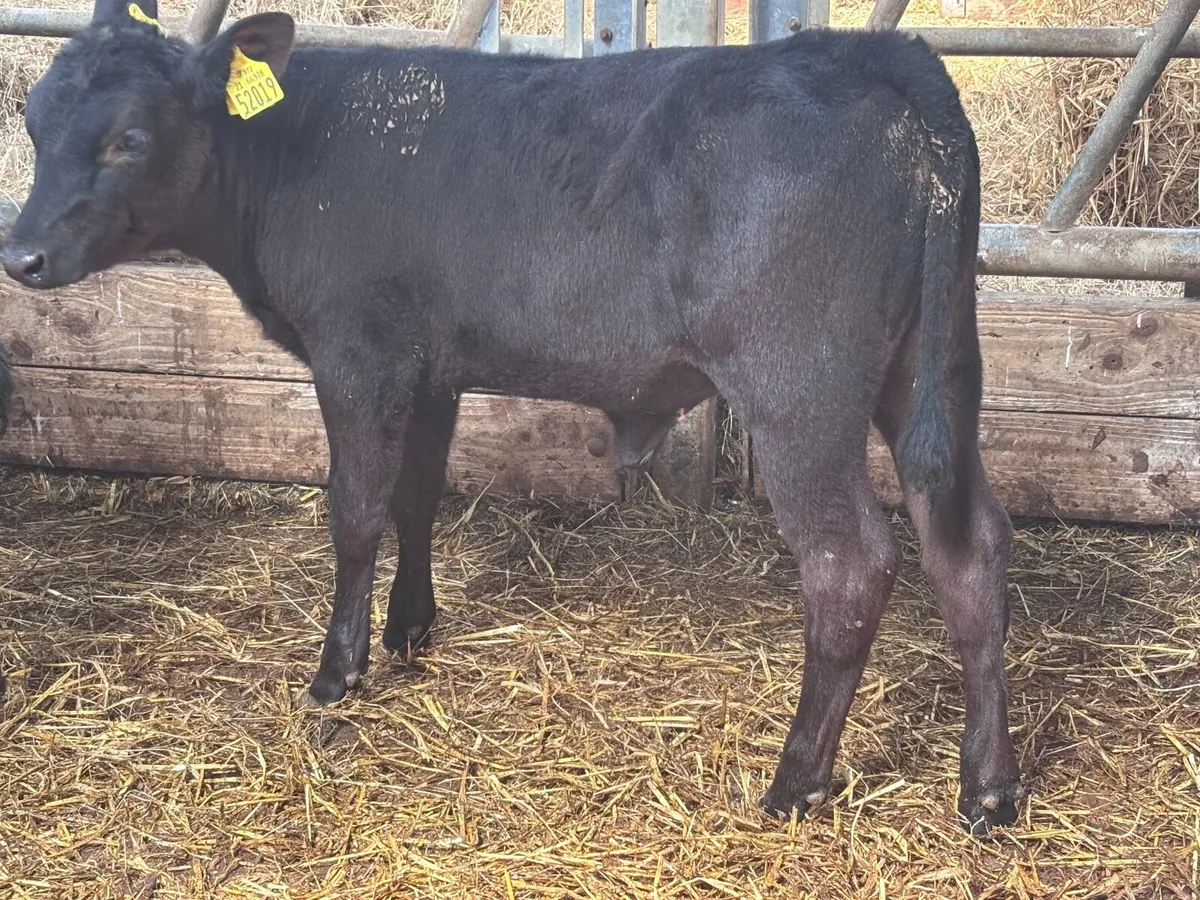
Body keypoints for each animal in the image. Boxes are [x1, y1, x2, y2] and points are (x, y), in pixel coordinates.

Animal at [0, 0, 1021, 834]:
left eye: (129, 140)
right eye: (35, 120)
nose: (22, 256)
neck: (296, 152)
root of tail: (881, 56)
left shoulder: (358, 354)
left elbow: (356, 512)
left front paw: (338, 672)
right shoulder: (431, 368)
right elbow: (415, 497)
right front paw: (411, 628)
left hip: (797, 389)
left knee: (851, 564)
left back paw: (795, 781)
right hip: (932, 372)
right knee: (966, 546)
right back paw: (989, 790)